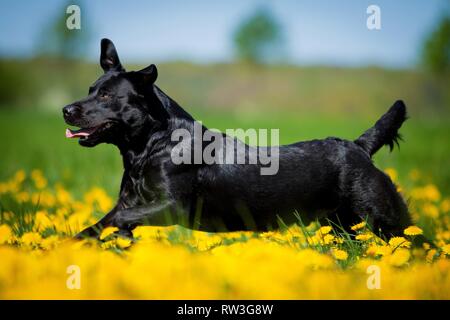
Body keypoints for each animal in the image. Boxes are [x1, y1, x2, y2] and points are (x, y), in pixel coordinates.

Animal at [65, 38, 414, 240]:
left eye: (107, 95)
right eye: (91, 90)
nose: (66, 110)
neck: (152, 145)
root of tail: (358, 146)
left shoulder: (171, 204)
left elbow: (119, 219)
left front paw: (121, 236)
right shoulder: (131, 201)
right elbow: (99, 225)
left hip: (384, 217)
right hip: (343, 226)